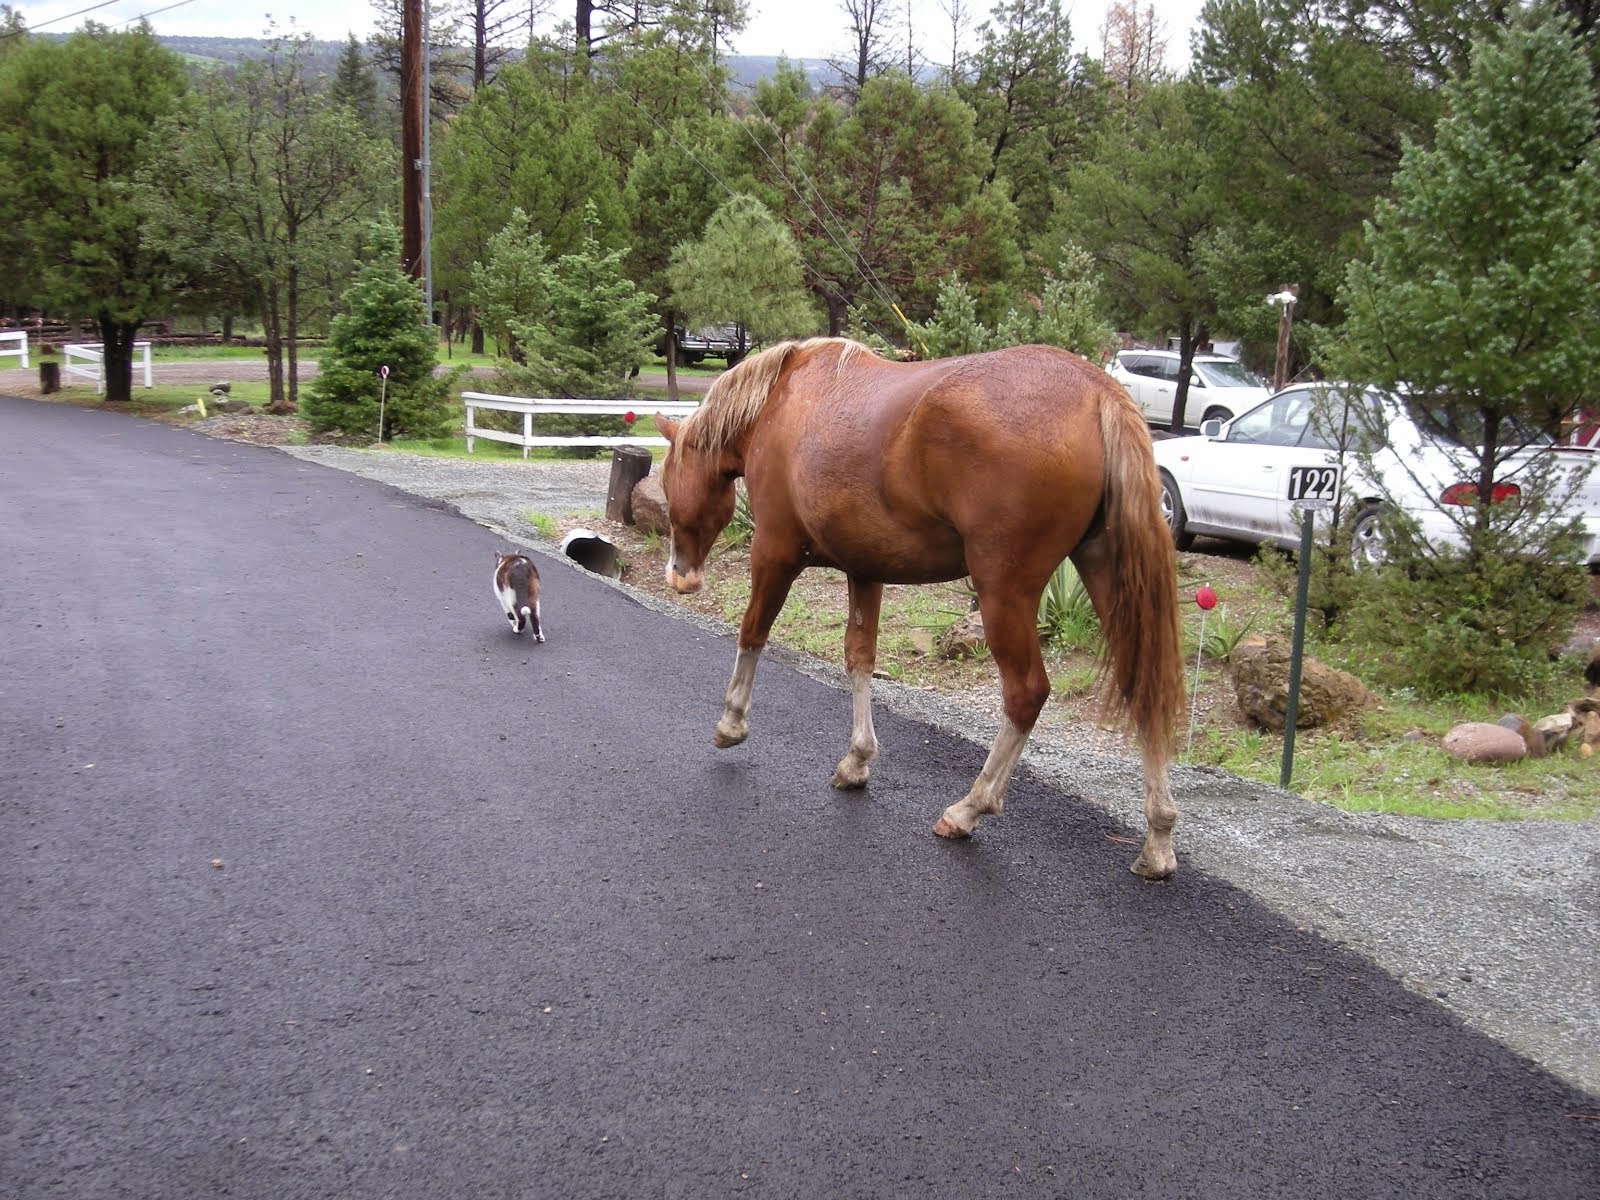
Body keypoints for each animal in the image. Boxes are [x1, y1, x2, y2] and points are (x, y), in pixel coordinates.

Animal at [649, 339, 1190, 883]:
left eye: (670, 482)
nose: (680, 576)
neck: (781, 401)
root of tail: (1098, 392)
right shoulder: (864, 570)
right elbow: (859, 659)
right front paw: (857, 760)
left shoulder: (774, 553)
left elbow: (752, 633)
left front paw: (731, 723)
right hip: (1106, 572)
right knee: (1142, 687)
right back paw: (1158, 838)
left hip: (1004, 591)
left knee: (1026, 695)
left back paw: (970, 808)